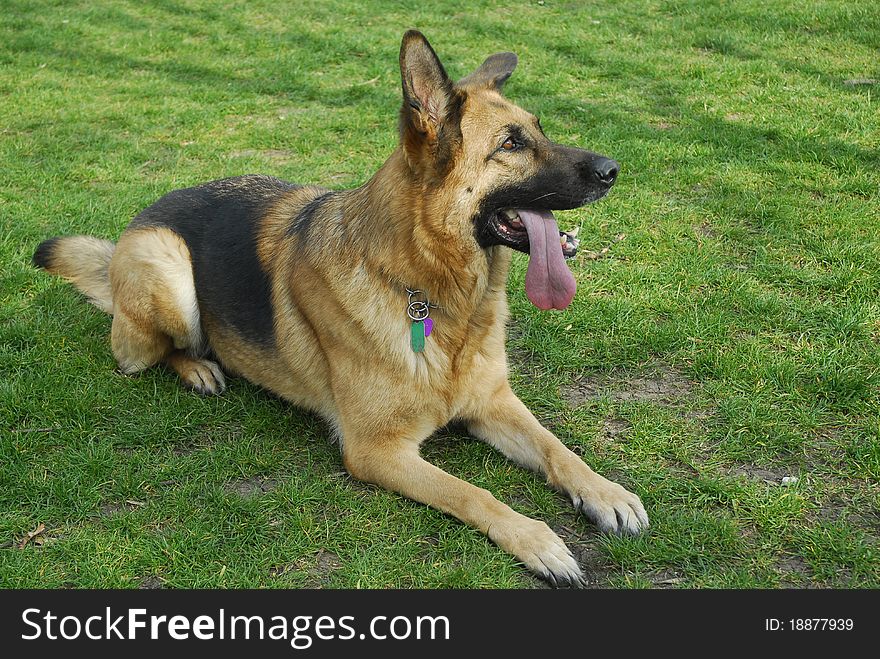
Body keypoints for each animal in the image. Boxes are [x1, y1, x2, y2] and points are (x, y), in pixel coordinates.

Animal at [32, 31, 648, 588]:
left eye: (540, 129)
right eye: (512, 144)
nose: (614, 168)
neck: (430, 292)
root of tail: (135, 223)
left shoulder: (493, 402)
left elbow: (557, 448)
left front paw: (606, 492)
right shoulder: (377, 451)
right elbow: (474, 492)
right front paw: (538, 539)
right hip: (168, 270)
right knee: (144, 353)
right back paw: (199, 368)